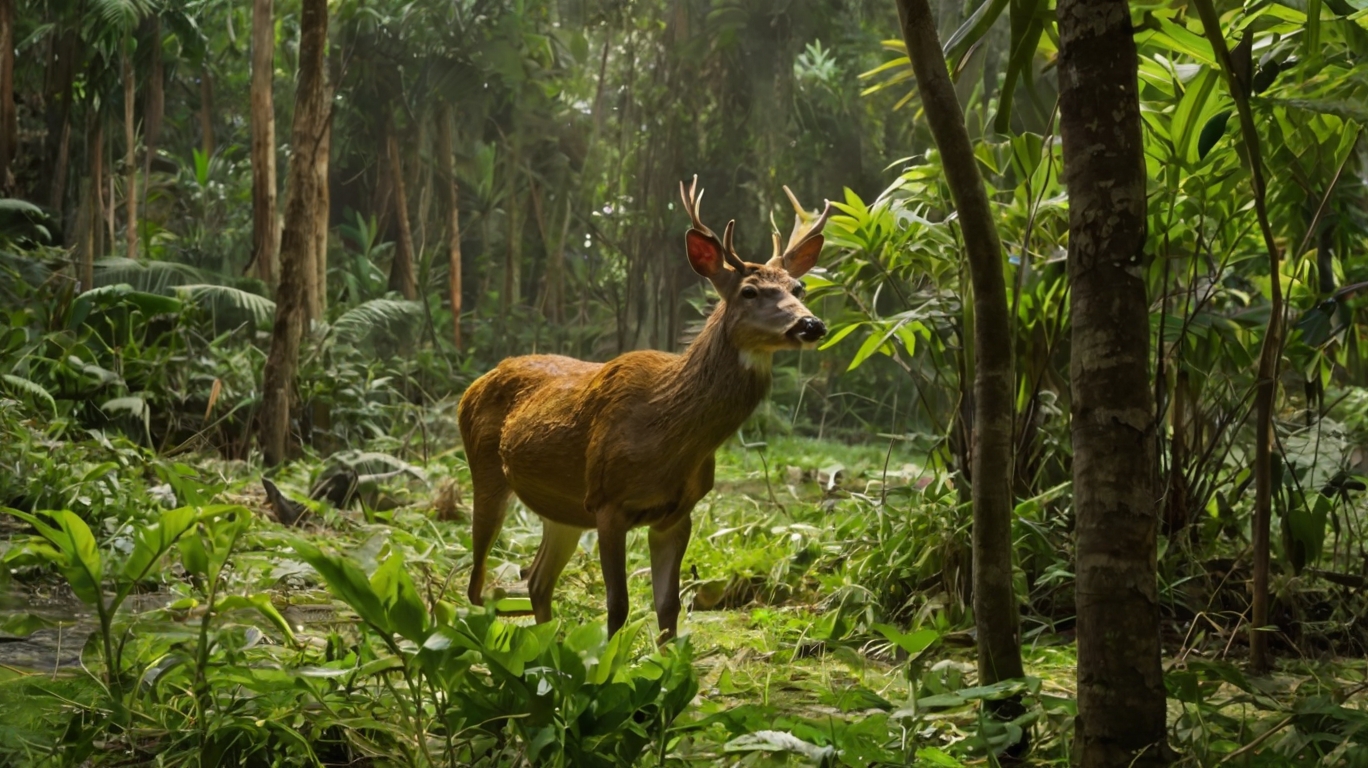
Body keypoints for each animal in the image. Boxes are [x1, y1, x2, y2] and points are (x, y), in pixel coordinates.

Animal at [459, 176, 831, 637]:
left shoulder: (677, 512)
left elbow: (668, 606)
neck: (667, 434)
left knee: (538, 581)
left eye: (800, 288)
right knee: (477, 585)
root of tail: (476, 383)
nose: (811, 324)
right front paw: (608, 657)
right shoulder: (607, 503)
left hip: (562, 509)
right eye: (750, 291)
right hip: (486, 472)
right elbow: (617, 606)